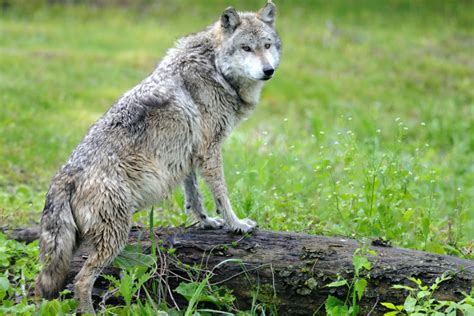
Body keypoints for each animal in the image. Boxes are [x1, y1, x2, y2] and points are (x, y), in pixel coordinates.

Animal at [37, 0, 282, 312]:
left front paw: (205, 222)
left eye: (267, 45)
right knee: (81, 281)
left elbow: (194, 197)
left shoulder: (188, 155)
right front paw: (236, 225)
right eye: (246, 48)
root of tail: (64, 175)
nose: (268, 70)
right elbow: (221, 194)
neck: (215, 68)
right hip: (114, 237)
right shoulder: (210, 150)